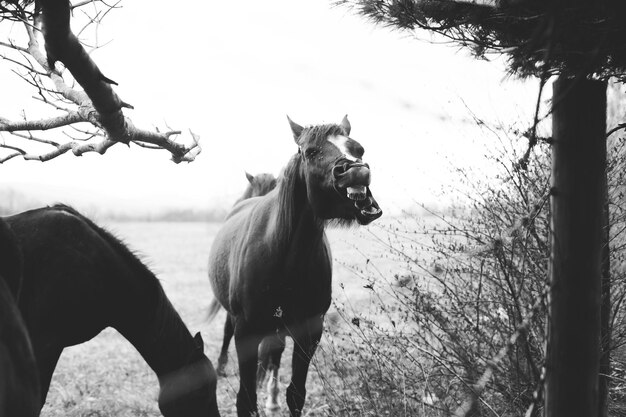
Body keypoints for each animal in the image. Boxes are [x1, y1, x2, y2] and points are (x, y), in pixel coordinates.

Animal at [207, 115, 380, 414]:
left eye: (358, 149)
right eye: (310, 151)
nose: (357, 171)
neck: (283, 254)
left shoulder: (308, 333)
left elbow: (296, 394)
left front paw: (276, 398)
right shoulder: (246, 332)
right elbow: (245, 399)